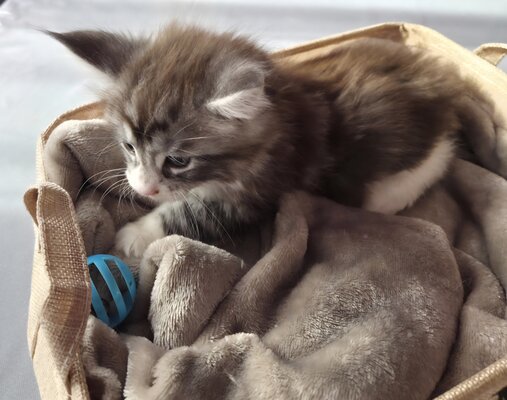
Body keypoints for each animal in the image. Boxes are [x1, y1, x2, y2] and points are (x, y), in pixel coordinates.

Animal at [49, 24, 484, 257]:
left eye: (178, 160)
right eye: (128, 147)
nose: (145, 187)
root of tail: (441, 82)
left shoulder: (262, 189)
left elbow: (193, 212)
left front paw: (135, 233)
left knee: (435, 159)